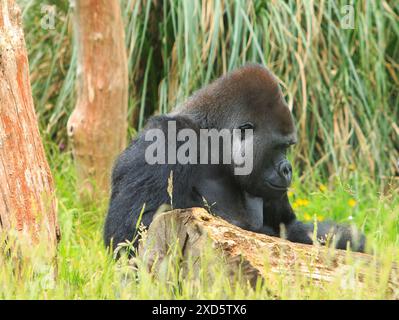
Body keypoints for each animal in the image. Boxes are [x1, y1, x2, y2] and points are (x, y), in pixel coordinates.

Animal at [104, 64, 366, 252]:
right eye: (280, 147)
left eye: (288, 147)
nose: (287, 168)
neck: (213, 145)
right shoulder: (164, 141)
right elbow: (130, 233)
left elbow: (289, 227)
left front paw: (348, 239)